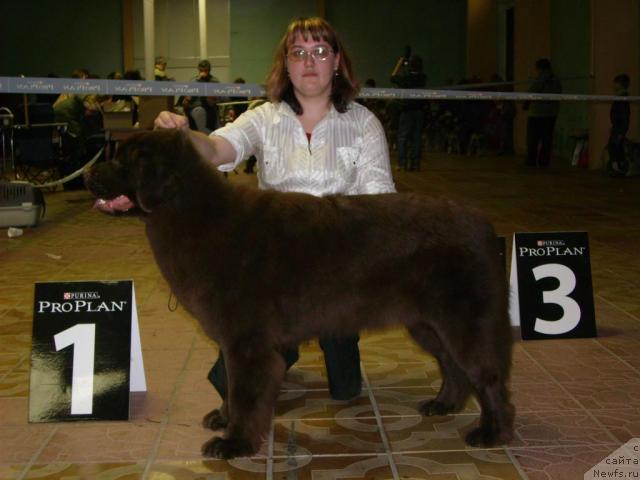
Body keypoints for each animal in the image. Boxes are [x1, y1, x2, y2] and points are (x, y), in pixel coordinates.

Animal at [85, 129, 516, 460]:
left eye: (122, 162)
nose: (87, 174)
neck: (192, 212)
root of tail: (483, 224)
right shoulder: (235, 342)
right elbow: (231, 389)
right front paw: (224, 419)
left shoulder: (247, 343)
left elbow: (244, 393)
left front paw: (234, 443)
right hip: (427, 324)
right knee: (454, 367)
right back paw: (444, 405)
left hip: (463, 322)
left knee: (488, 376)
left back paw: (492, 433)